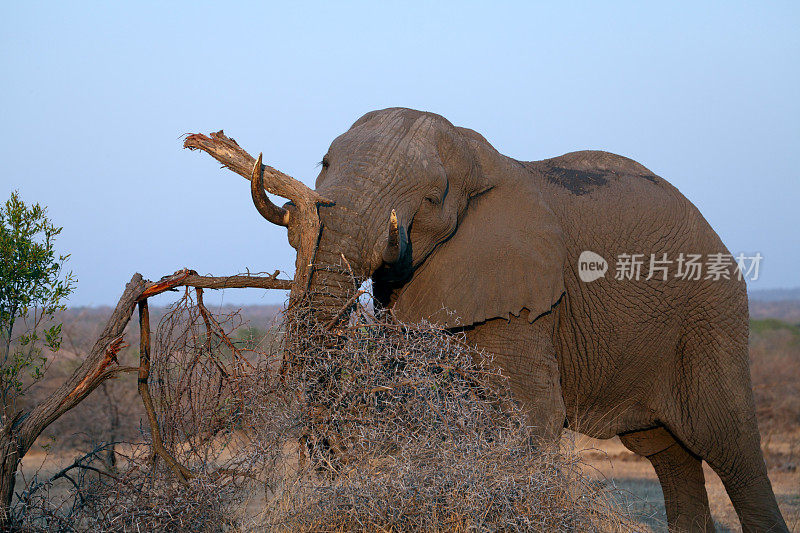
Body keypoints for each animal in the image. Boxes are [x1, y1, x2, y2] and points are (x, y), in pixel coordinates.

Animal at [192, 108, 788, 532]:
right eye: (323, 163)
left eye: (432, 197)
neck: (483, 159)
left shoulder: (523, 289)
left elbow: (531, 416)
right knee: (670, 455)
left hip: (710, 316)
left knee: (730, 449)